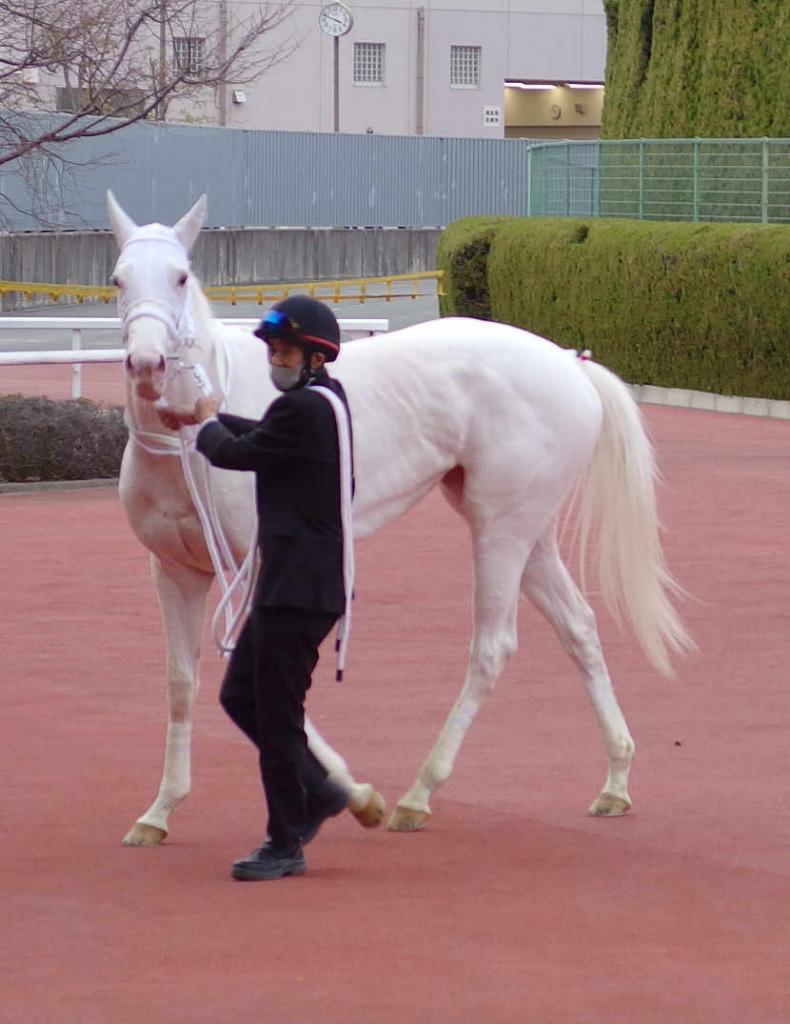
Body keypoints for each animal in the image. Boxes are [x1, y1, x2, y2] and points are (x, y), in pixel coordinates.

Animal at [109, 192, 692, 847]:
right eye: (119, 279)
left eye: (181, 277)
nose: (149, 365)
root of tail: (571, 362)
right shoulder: (175, 571)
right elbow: (182, 684)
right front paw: (160, 811)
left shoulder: (253, 570)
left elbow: (265, 682)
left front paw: (355, 794)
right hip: (531, 533)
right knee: (580, 628)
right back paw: (615, 778)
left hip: (500, 529)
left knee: (492, 647)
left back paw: (420, 793)